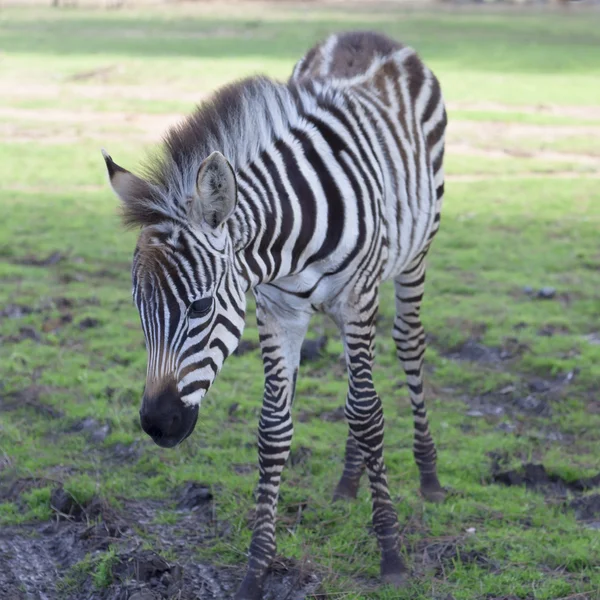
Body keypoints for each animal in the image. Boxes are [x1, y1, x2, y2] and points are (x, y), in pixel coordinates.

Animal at [102, 30, 446, 596]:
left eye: (200, 305)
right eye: (139, 310)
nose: (157, 424)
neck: (290, 242)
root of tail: (369, 36)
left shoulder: (356, 300)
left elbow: (368, 414)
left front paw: (391, 554)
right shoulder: (275, 310)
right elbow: (274, 428)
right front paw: (256, 569)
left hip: (415, 255)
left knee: (408, 347)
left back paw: (429, 476)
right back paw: (348, 482)